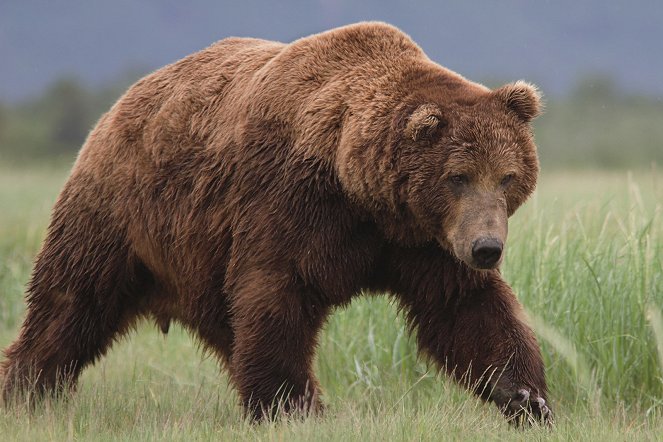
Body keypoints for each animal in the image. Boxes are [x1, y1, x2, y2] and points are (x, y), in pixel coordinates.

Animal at [2, 22, 552, 424]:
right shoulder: (292, 203)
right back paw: (27, 391)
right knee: (70, 302)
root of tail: (117, 106)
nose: (487, 248)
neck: (360, 190)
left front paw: (527, 397)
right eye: (458, 176)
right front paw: (291, 408)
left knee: (226, 329)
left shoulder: (421, 241)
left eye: (507, 176)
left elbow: (466, 310)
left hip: (197, 260)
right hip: (121, 213)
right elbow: (277, 295)